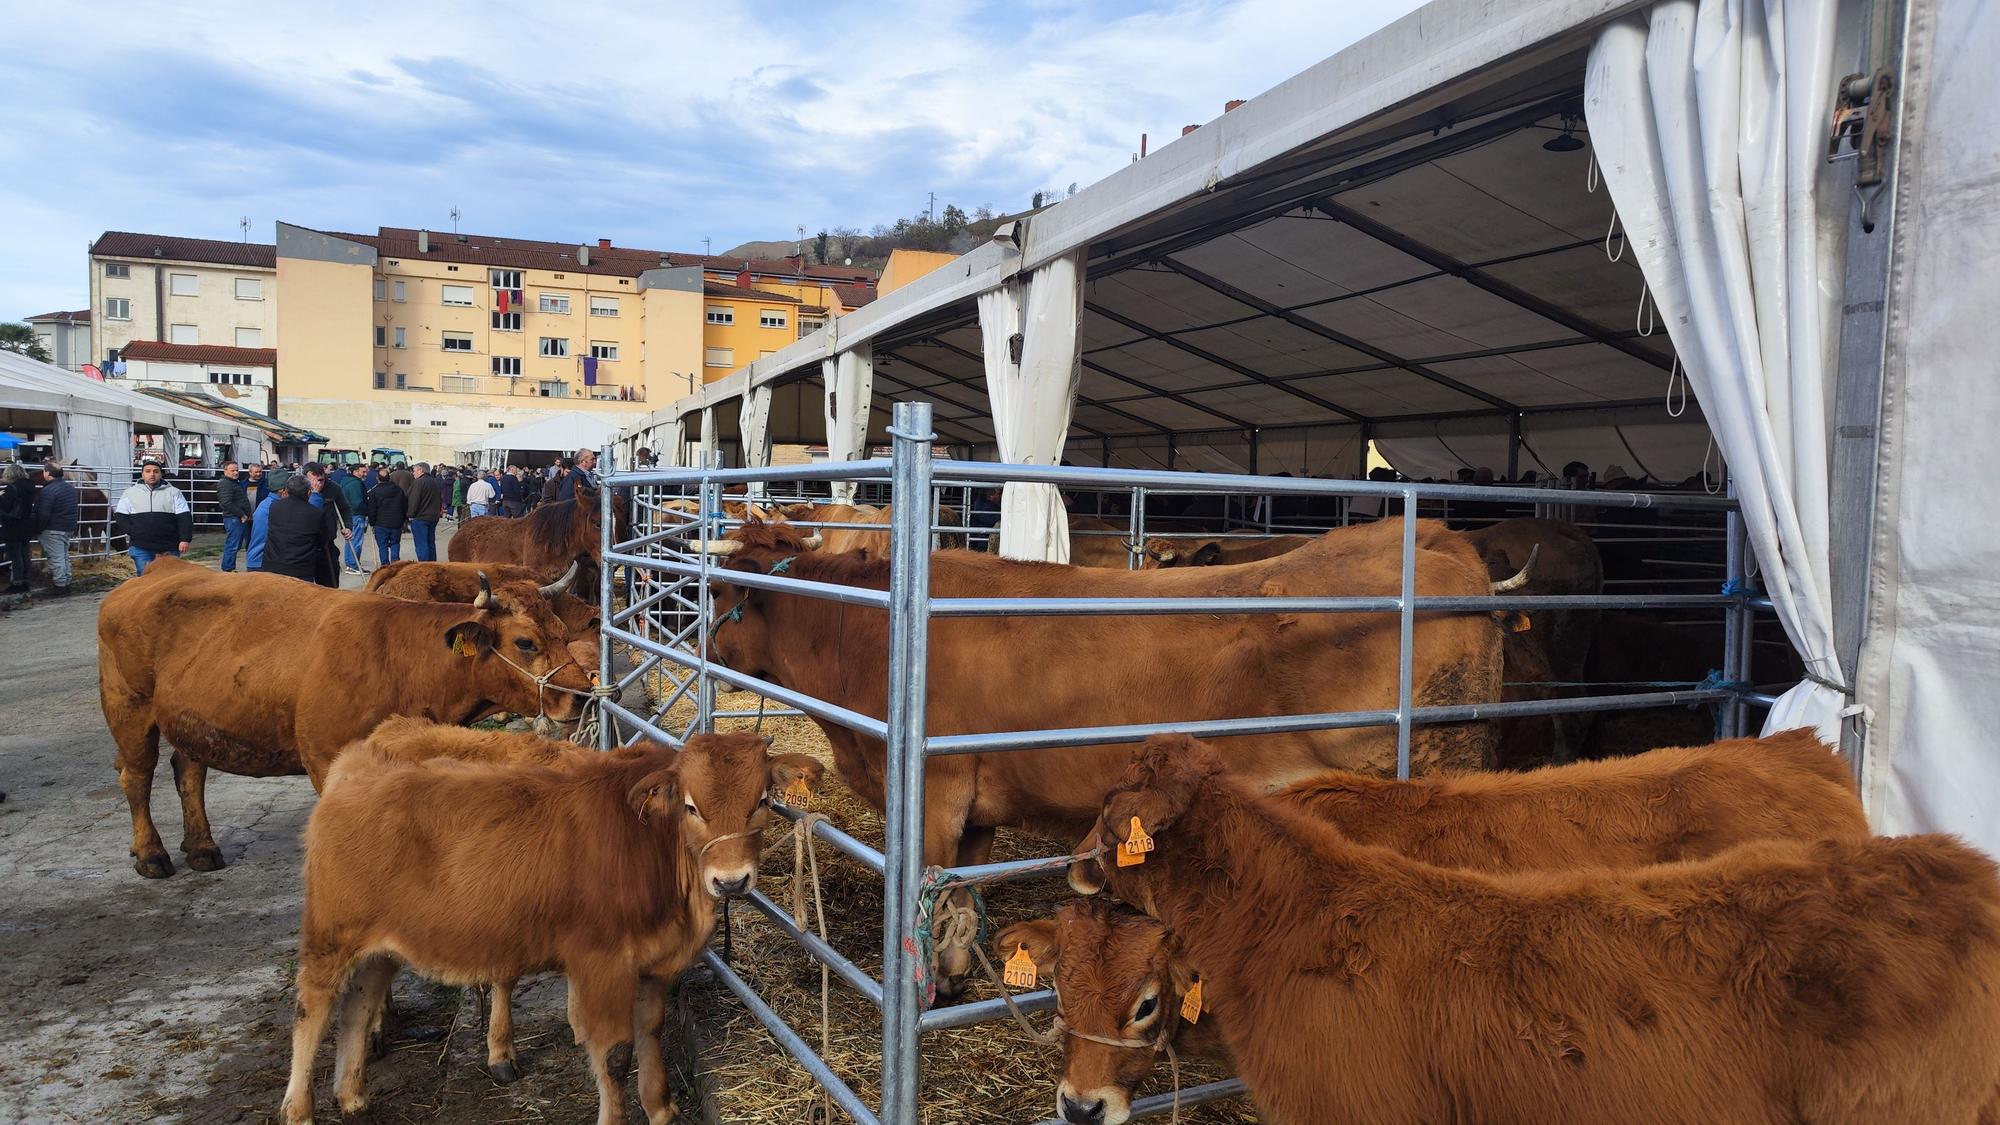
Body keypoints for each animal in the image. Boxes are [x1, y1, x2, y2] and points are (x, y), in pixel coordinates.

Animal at [97, 552, 588, 876]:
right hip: (129, 707)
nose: (582, 696)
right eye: (525, 642)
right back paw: (151, 854)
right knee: (136, 775)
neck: (401, 657)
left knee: (189, 770)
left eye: (563, 632)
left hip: (191, 717)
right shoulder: (325, 759)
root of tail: (163, 568)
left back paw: (201, 847)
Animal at [280, 728, 820, 1120]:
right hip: (330, 935)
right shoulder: (601, 964)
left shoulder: (652, 967)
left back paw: (351, 1095)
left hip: (380, 948)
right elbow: (616, 1054)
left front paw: (661, 1109)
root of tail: (356, 766)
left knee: (357, 1005)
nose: (730, 880)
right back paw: (299, 1109)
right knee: (311, 1011)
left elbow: (651, 1033)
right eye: (691, 805)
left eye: (763, 800)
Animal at [704, 516, 1512, 988]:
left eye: (718, 594)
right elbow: (963, 896)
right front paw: (959, 969)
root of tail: (1431, 536)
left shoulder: (933, 793)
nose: (703, 644)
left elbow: (929, 899)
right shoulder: (977, 806)